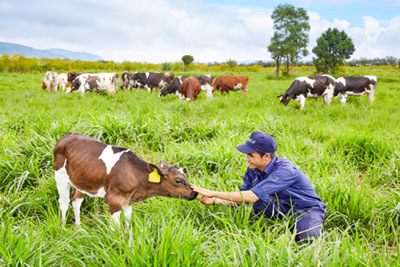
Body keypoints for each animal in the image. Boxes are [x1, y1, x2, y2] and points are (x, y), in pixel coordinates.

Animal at [54, 133, 198, 225]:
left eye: (186, 175)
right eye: (178, 180)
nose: (194, 193)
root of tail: (68, 135)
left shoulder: (129, 200)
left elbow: (128, 221)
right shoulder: (113, 200)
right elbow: (116, 228)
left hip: (82, 180)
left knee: (76, 201)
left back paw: (78, 228)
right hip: (60, 175)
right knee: (64, 202)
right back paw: (63, 228)